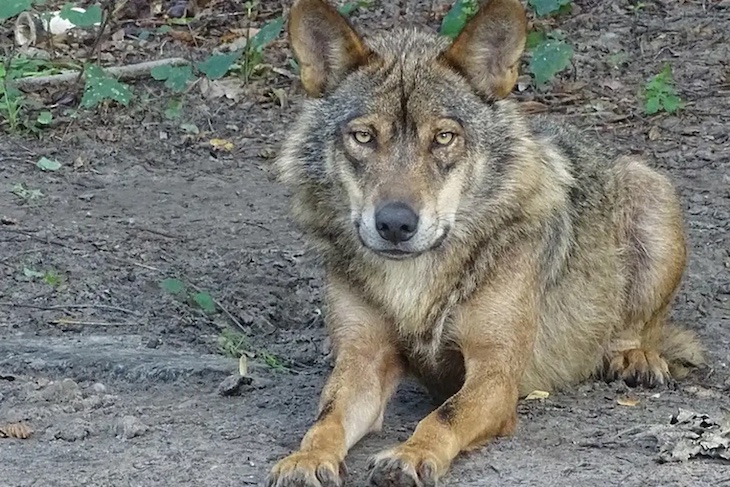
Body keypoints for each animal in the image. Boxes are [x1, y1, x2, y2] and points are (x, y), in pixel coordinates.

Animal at [265, 0, 706, 485]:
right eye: (363, 136)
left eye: (444, 137)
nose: (395, 224)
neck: (415, 281)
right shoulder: (361, 361)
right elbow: (326, 419)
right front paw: (306, 458)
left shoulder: (495, 373)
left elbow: (444, 416)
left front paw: (411, 455)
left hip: (653, 193)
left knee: (637, 328)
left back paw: (634, 358)